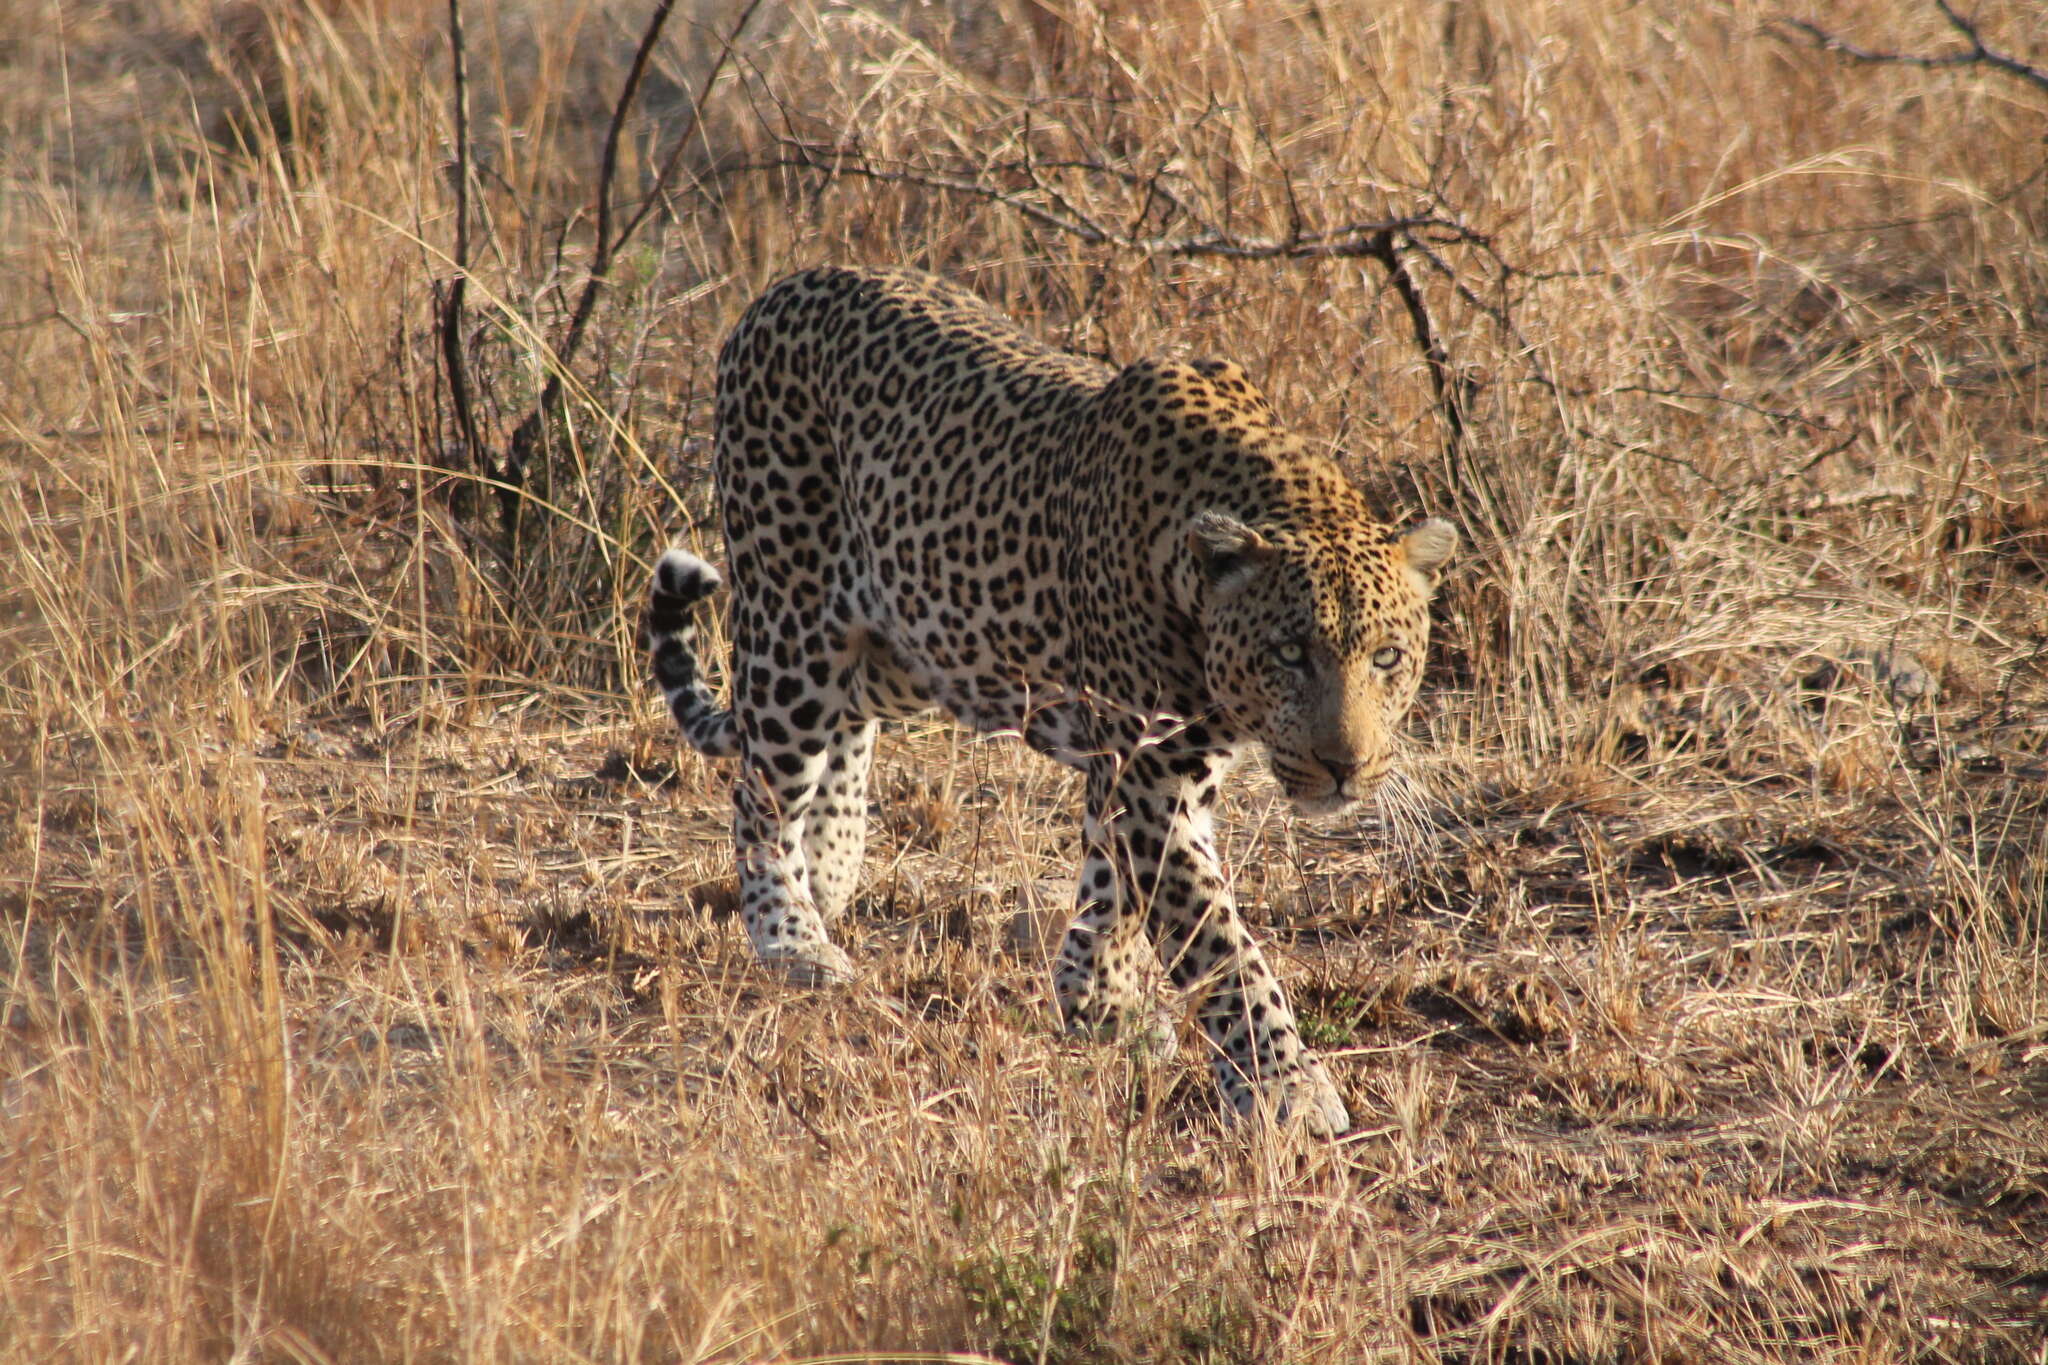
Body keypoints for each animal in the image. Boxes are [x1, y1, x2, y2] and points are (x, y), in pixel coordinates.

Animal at [638, 263, 1458, 1129]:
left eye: (1387, 656)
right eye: (1290, 654)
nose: (1345, 766)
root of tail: (782, 287)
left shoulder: (1143, 772)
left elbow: (1111, 888)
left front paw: (1099, 1000)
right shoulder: (1150, 775)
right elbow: (1218, 945)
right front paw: (1286, 1084)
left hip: (915, 634)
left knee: (846, 719)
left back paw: (829, 864)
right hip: (791, 620)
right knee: (760, 784)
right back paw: (792, 934)